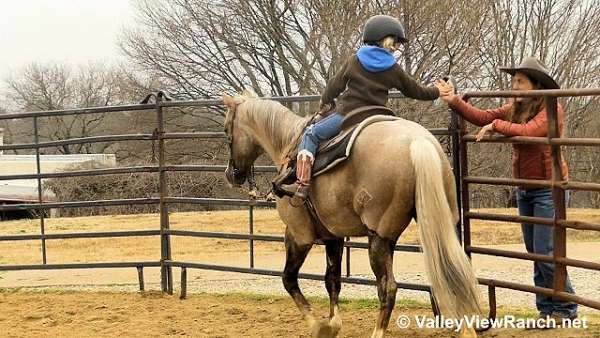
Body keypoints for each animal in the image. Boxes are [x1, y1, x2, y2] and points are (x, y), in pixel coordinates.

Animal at [223, 90, 480, 338]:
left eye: (226, 130)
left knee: (388, 287)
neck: (289, 146)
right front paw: (333, 324)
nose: (230, 174)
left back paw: (377, 332)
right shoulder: (333, 237)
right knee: (453, 274)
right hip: (433, 226)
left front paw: (318, 327)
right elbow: (332, 279)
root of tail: (418, 141)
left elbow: (289, 279)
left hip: (378, 238)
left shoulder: (298, 235)